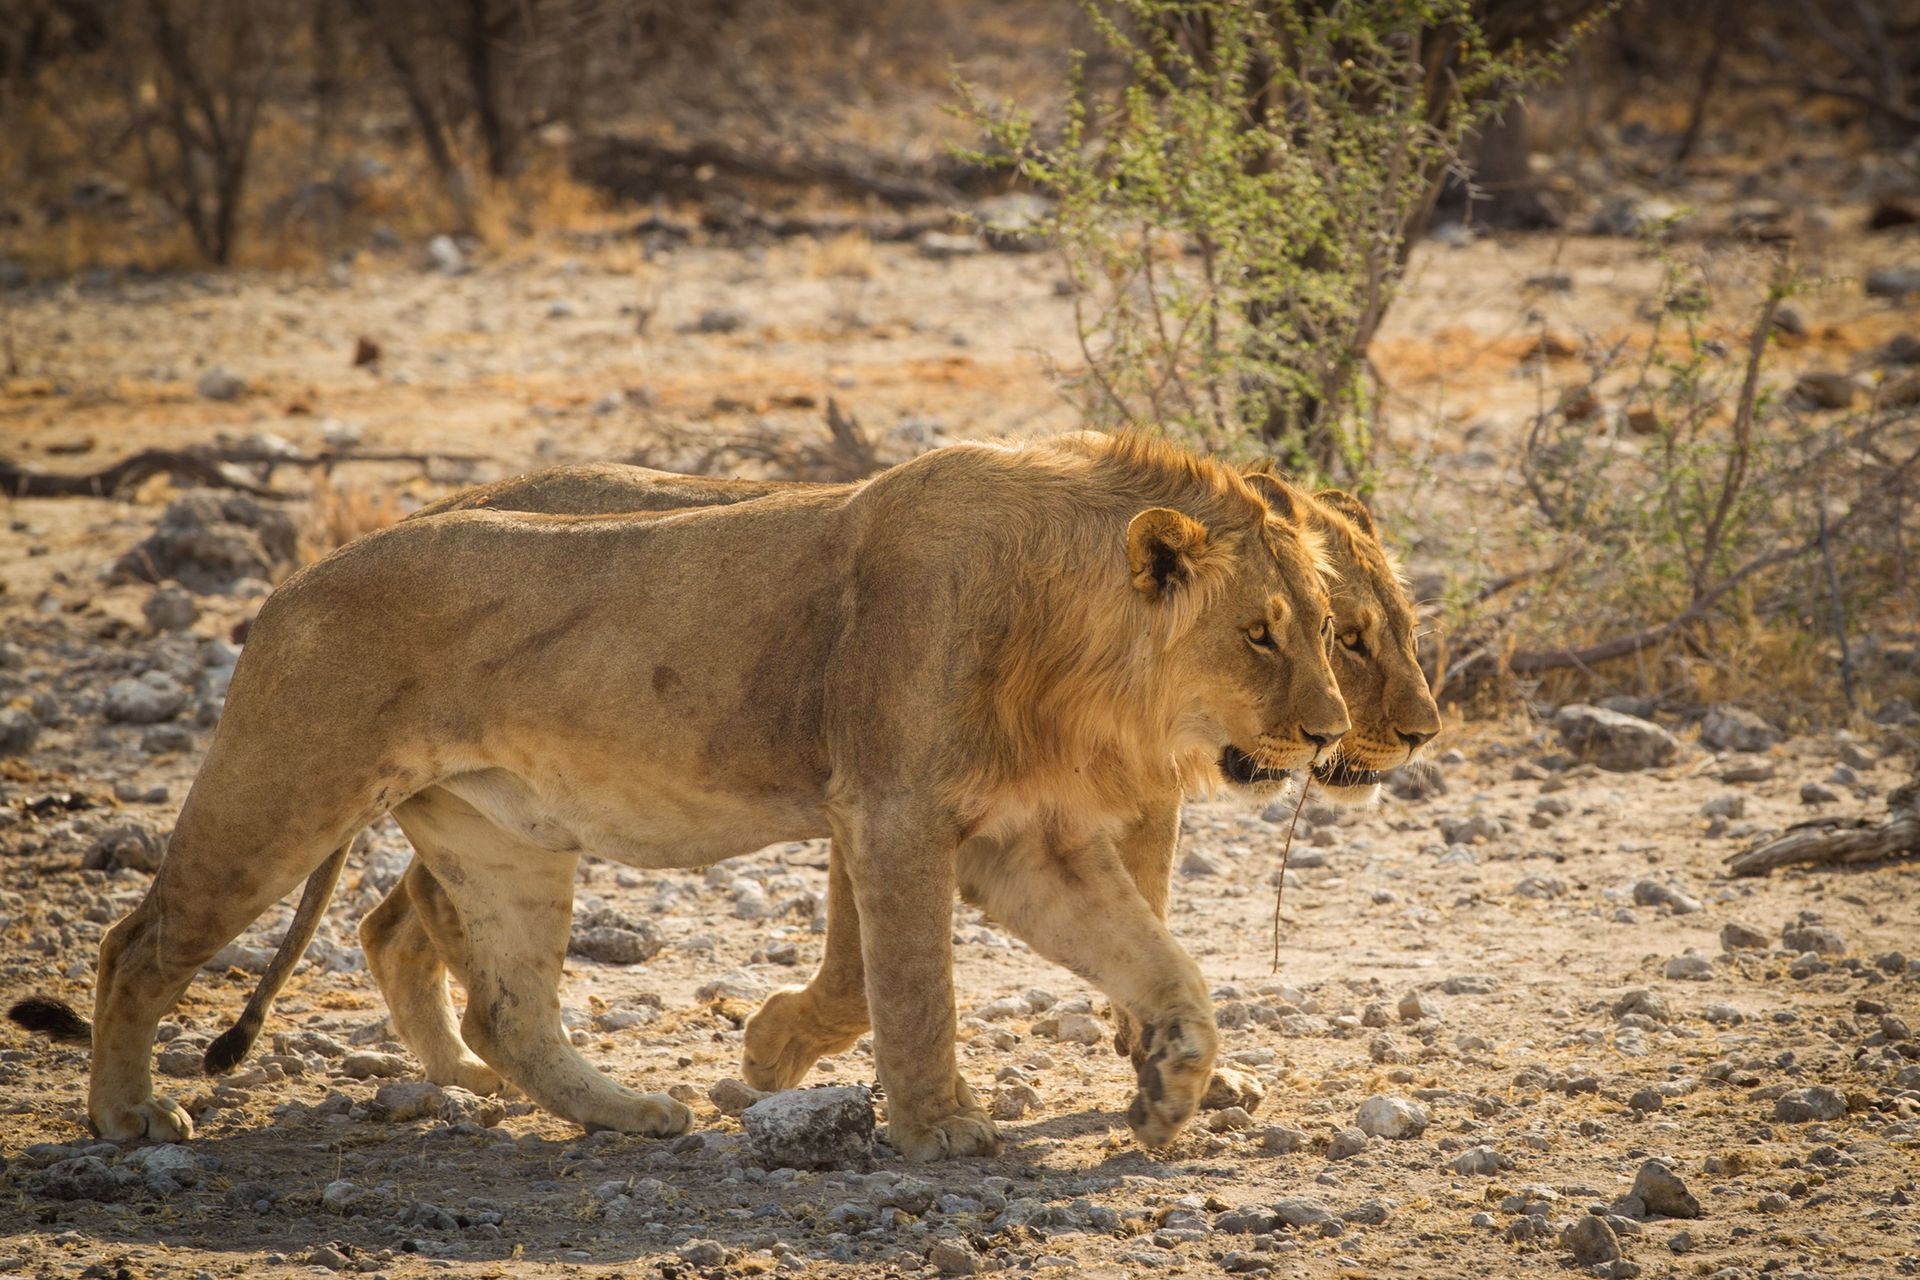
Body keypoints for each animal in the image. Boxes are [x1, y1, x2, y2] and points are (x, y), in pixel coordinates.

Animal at [9, 434, 1350, 1161]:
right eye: (1261, 633)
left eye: (1326, 626)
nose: (1332, 731)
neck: (1070, 642)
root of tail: (291, 581)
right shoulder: (894, 808)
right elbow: (915, 988)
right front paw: (937, 1130)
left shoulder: (1024, 840)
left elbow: (1164, 963)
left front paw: (1170, 1089)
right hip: (284, 787)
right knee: (136, 940)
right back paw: (127, 1118)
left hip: (499, 833)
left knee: (505, 1004)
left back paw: (627, 1113)